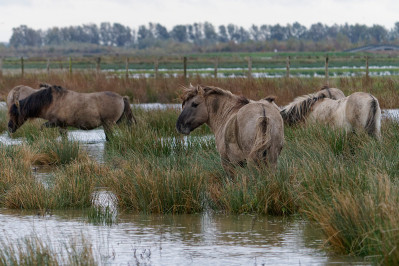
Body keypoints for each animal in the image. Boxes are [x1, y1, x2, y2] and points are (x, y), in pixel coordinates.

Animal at [7, 84, 136, 139]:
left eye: (15, 114)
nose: (9, 128)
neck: (52, 101)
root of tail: (122, 98)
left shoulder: (55, 122)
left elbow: (42, 128)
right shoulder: (62, 125)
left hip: (109, 124)